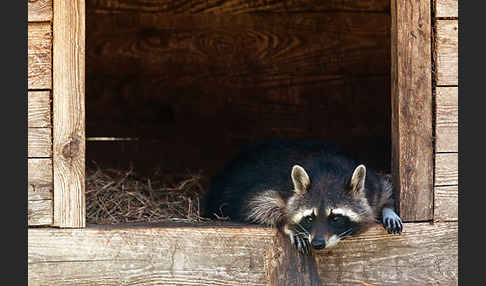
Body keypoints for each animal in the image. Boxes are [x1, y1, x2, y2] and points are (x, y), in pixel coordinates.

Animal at [201, 140, 402, 254]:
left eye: (335, 218)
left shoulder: (373, 187)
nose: (318, 243)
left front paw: (388, 209)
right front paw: (287, 224)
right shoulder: (274, 188)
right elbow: (256, 204)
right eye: (309, 218)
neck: (328, 172)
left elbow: (386, 191)